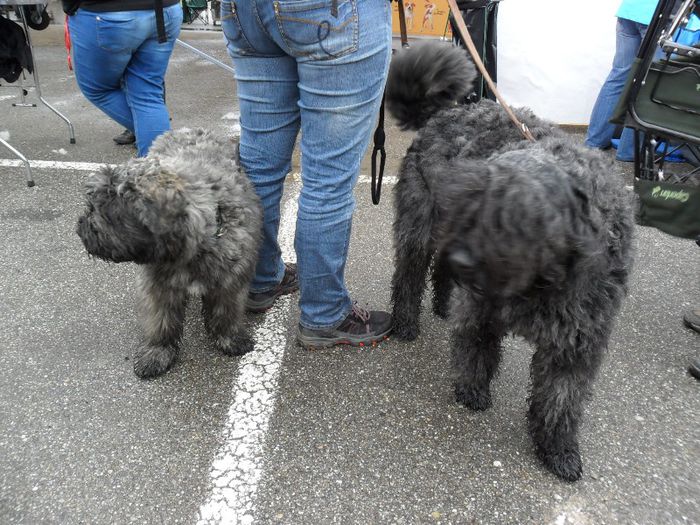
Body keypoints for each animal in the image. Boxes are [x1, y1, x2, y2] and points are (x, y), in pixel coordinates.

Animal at [76, 129, 262, 378]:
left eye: (105, 209)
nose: (80, 226)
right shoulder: (159, 287)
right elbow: (161, 322)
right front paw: (157, 353)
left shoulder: (230, 282)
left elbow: (226, 313)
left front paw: (230, 339)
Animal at [386, 43, 636, 482]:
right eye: (473, 198)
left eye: (512, 218)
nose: (466, 256)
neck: (545, 279)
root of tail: (444, 112)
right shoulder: (481, 309)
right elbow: (476, 349)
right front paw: (472, 391)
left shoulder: (576, 344)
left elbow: (561, 399)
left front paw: (558, 449)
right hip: (419, 229)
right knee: (410, 276)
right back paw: (406, 321)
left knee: (441, 275)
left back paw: (442, 305)